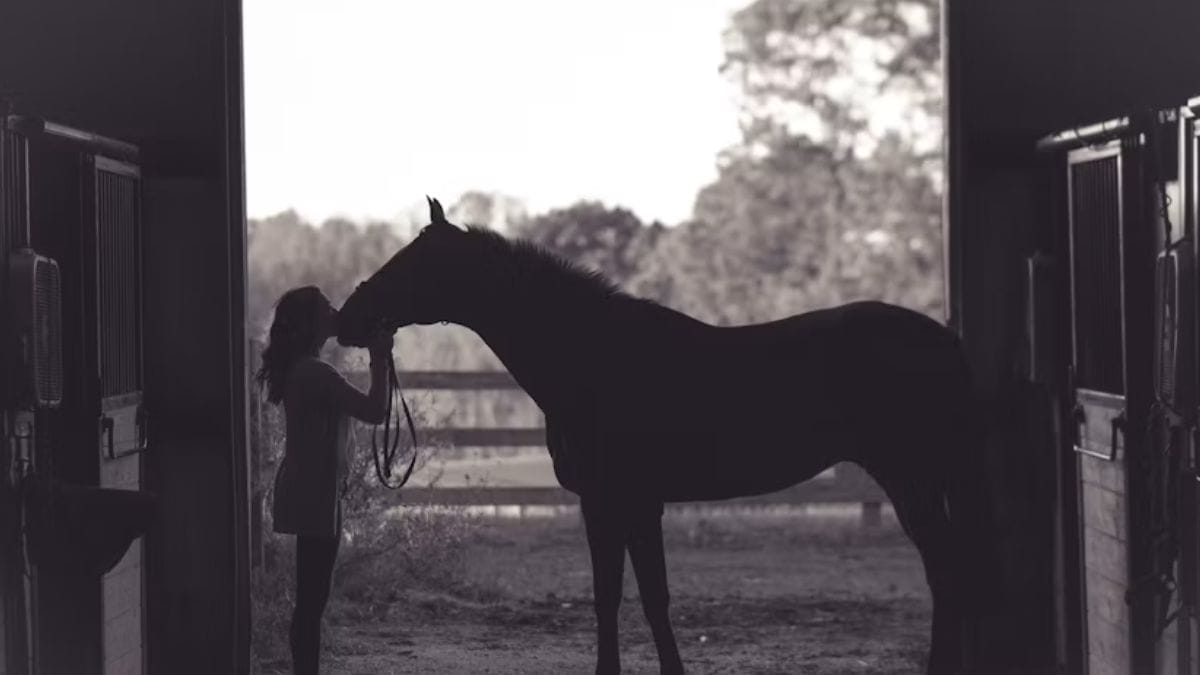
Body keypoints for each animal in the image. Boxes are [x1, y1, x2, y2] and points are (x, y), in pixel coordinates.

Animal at [337, 197, 985, 675]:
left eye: (415, 263)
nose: (347, 319)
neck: (596, 360)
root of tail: (947, 342)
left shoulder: (636, 501)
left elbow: (652, 598)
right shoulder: (601, 504)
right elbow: (610, 596)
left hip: (909, 478)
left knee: (947, 568)